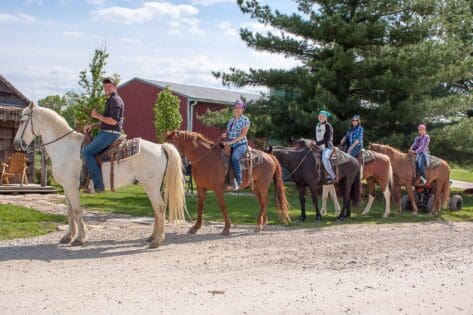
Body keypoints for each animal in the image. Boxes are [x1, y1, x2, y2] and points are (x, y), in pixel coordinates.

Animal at [12, 103, 186, 249]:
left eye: (22, 121)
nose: (16, 144)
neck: (64, 147)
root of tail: (161, 147)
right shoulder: (67, 188)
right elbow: (69, 212)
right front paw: (68, 237)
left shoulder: (71, 187)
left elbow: (77, 211)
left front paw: (79, 238)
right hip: (151, 187)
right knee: (157, 210)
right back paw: (152, 237)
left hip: (151, 186)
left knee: (160, 208)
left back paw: (157, 241)